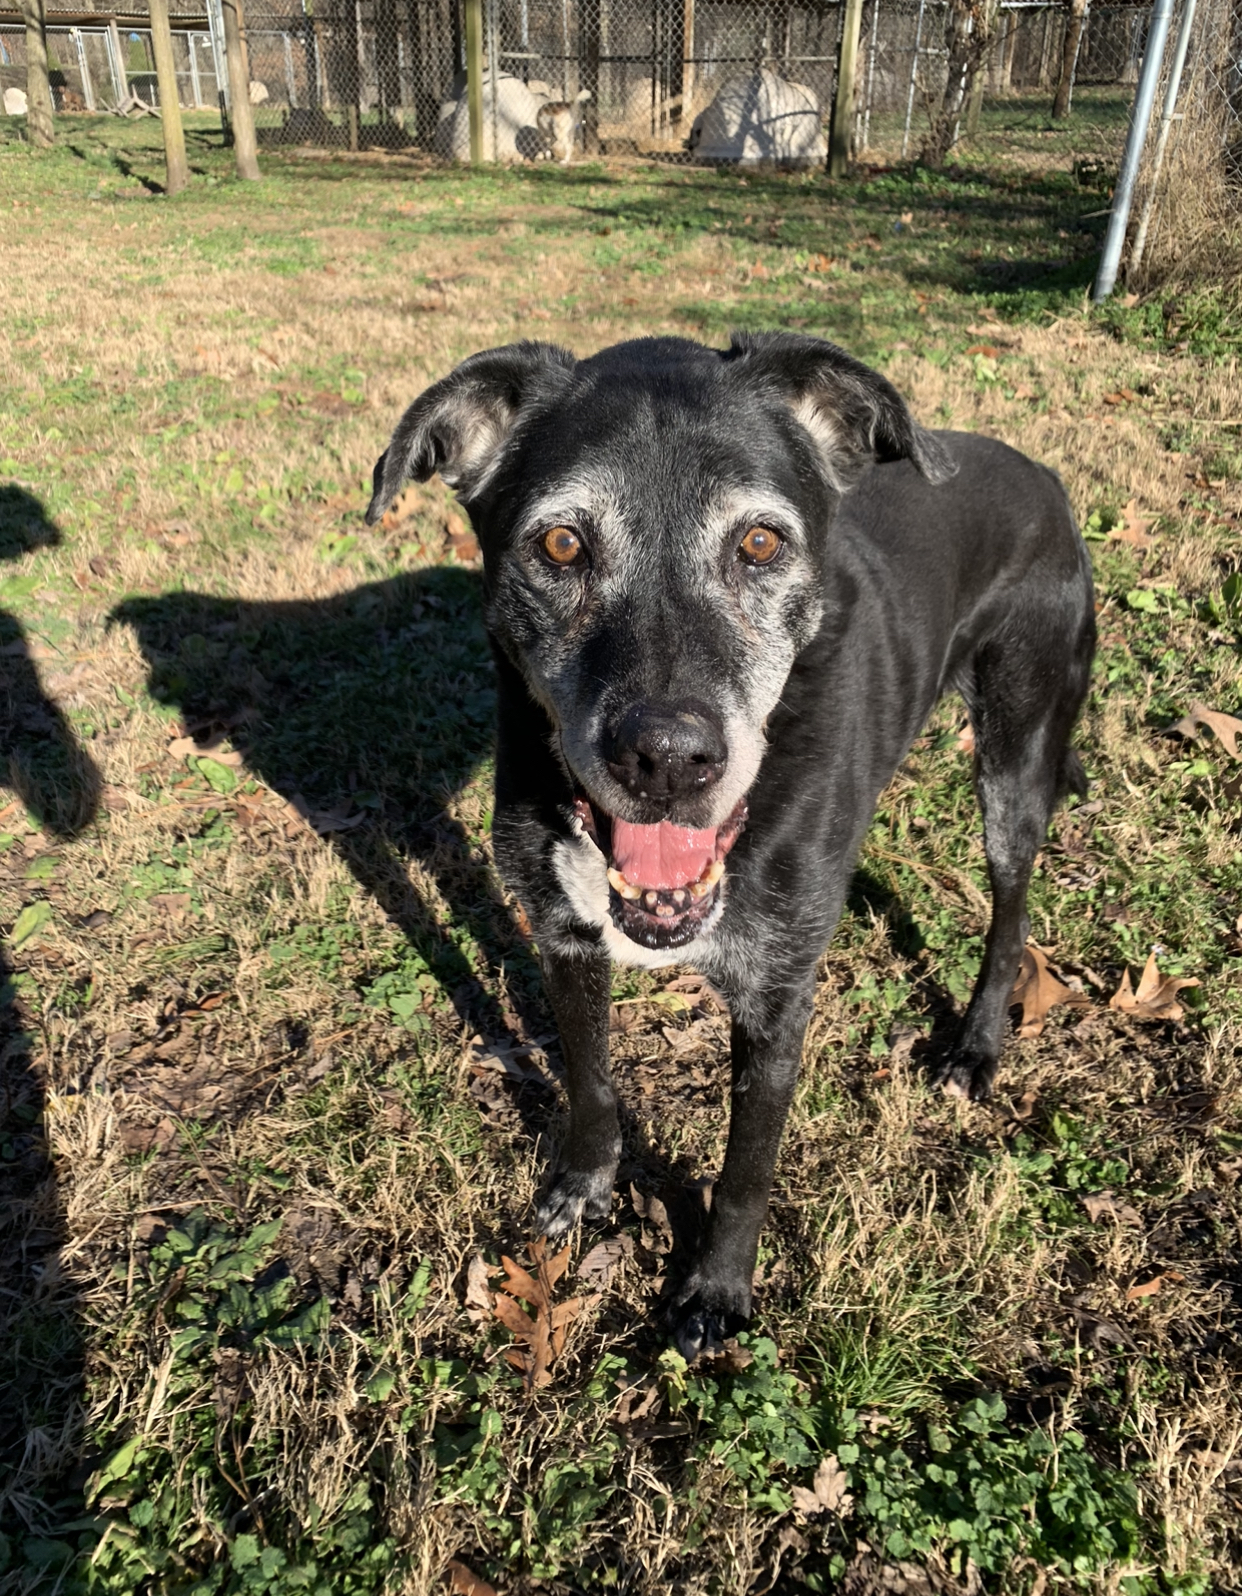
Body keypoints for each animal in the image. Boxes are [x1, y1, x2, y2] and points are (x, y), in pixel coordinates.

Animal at [367, 330, 1091, 1353]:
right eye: (561, 543)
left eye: (759, 542)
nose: (668, 760)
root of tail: (1042, 474)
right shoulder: (563, 936)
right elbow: (589, 1080)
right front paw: (584, 1185)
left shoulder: (776, 995)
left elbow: (747, 1163)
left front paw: (714, 1292)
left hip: (1015, 756)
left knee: (1012, 903)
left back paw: (977, 1045)